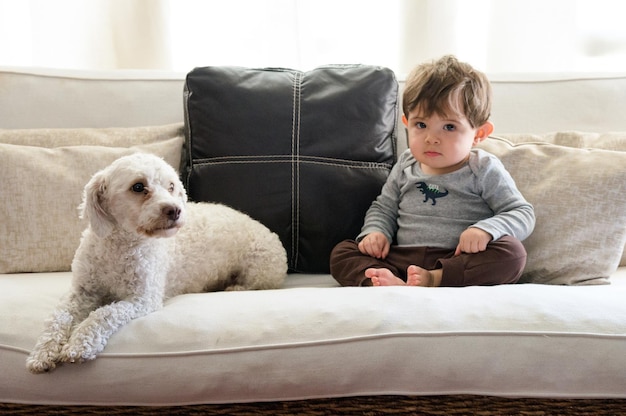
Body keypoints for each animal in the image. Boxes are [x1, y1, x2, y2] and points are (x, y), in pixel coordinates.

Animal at [25, 153, 286, 374]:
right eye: (138, 187)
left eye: (171, 187)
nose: (175, 210)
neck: (120, 245)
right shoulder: (82, 291)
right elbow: (58, 317)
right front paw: (43, 352)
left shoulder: (143, 298)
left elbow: (104, 313)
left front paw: (80, 343)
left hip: (259, 268)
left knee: (254, 285)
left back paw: (233, 287)